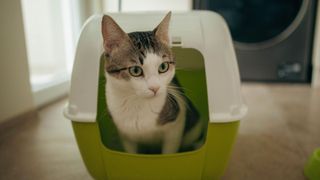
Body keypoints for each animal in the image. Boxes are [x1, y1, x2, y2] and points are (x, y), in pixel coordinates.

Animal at [101, 11, 204, 154]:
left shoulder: (176, 124)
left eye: (163, 67)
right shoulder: (125, 135)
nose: (155, 88)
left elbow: (169, 151)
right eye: (135, 70)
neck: (137, 104)